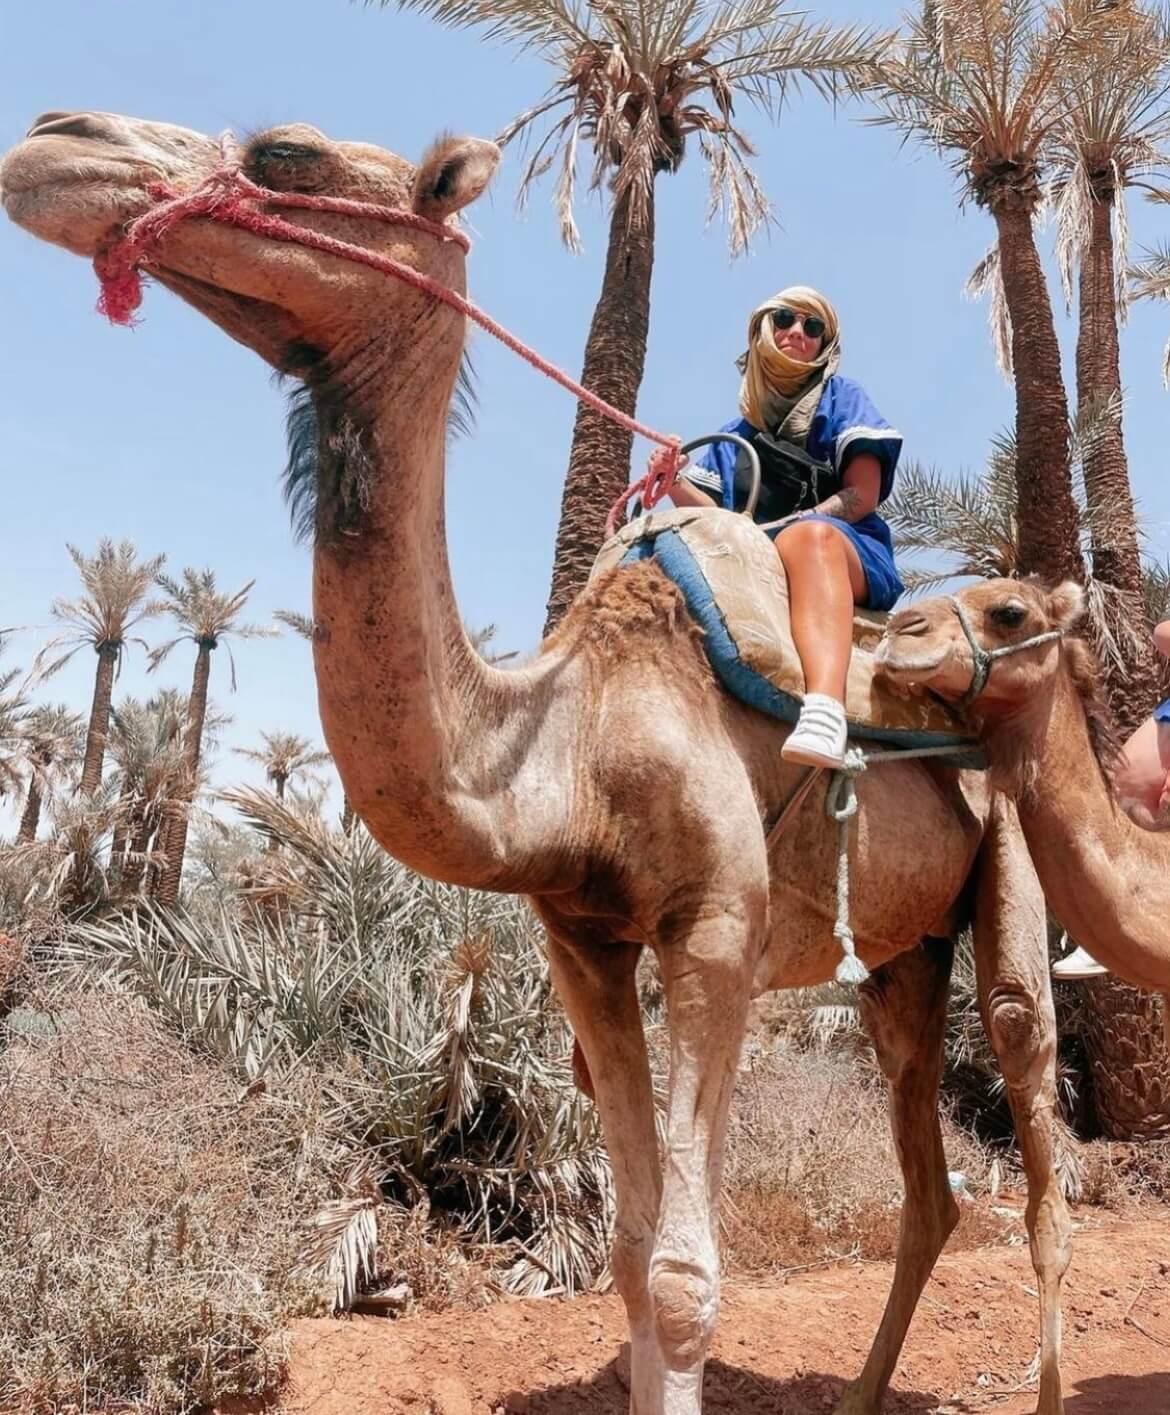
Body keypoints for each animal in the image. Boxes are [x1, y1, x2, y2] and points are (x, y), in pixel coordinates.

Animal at [2, 110, 1069, 1415]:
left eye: (286, 154)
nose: (55, 141)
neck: (572, 746)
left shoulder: (717, 930)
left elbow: (684, 1272)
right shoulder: (585, 939)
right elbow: (628, 1245)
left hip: (1011, 833)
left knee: (1029, 1097)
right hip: (902, 958)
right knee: (930, 1183)